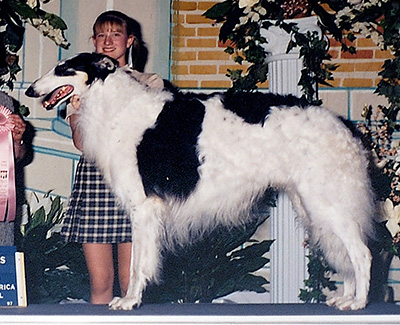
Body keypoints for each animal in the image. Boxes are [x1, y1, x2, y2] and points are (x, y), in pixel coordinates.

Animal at [25, 52, 376, 308]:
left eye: (63, 69)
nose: (29, 90)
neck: (116, 104)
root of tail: (343, 126)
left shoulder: (144, 207)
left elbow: (137, 265)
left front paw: (129, 300)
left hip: (326, 202)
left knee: (362, 253)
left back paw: (359, 302)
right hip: (313, 206)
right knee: (345, 255)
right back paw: (345, 298)